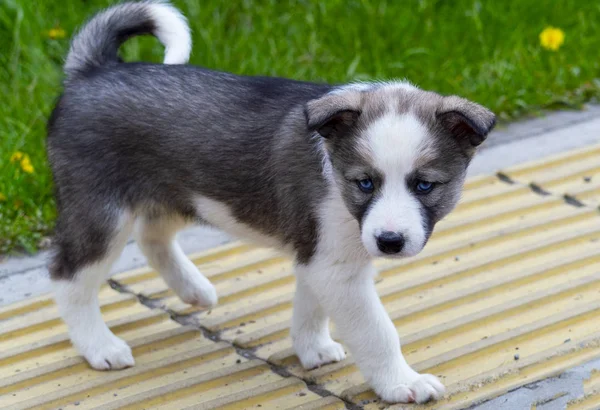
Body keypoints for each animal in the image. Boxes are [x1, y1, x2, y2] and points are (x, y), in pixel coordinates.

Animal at [49, 0, 494, 404]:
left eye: (424, 186)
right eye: (365, 183)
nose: (389, 242)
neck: (333, 172)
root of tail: (92, 71)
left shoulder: (317, 256)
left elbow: (310, 306)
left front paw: (312, 349)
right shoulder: (335, 265)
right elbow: (376, 332)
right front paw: (402, 383)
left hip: (177, 194)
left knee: (150, 236)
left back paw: (194, 290)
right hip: (100, 211)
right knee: (68, 278)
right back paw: (100, 347)